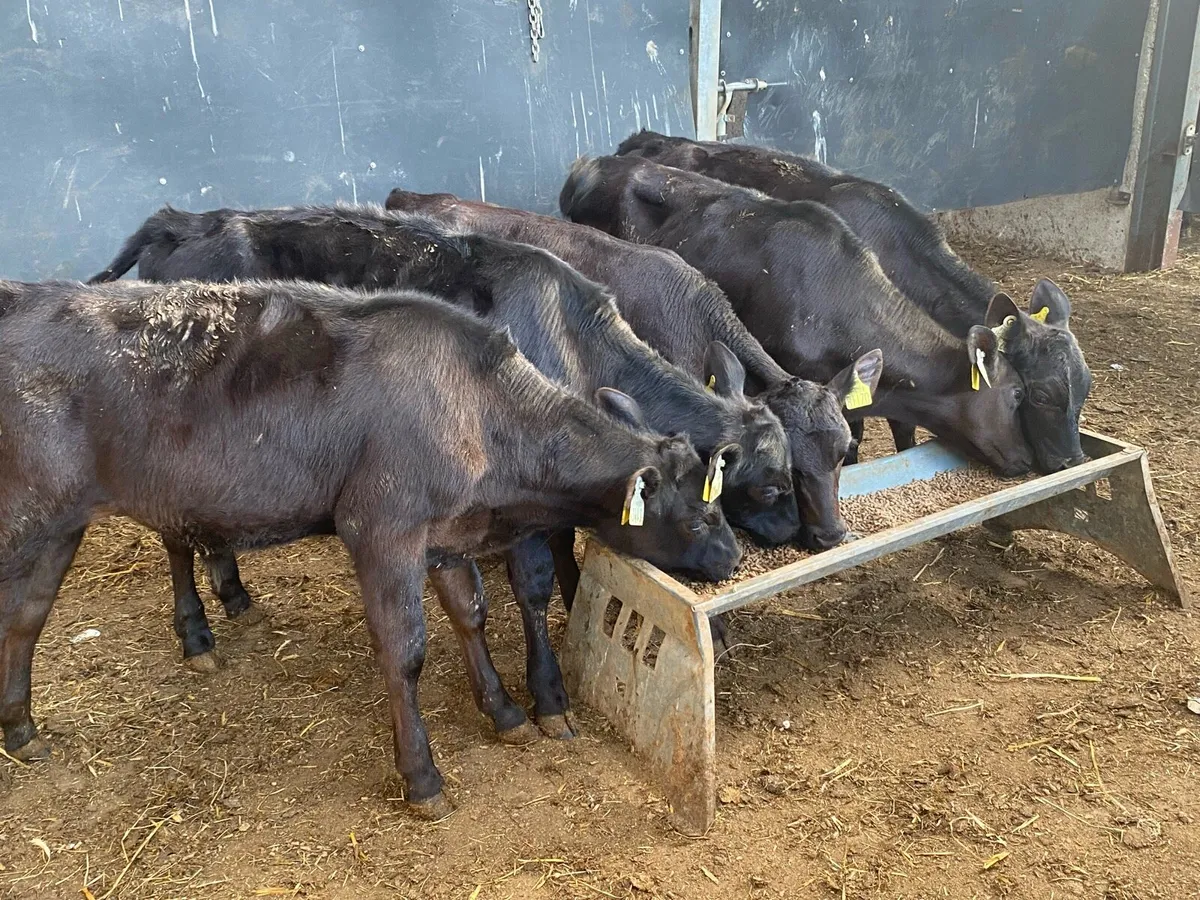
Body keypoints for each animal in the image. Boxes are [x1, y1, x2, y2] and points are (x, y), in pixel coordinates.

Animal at [0, 278, 740, 819]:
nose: (732, 557)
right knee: (25, 612)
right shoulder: (383, 527)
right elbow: (404, 649)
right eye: (698, 517)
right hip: (31, 516)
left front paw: (504, 711)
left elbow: (470, 612)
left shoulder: (444, 532)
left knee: (34, 615)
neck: (481, 413)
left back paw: (27, 723)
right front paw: (422, 776)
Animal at [88, 203, 770, 736]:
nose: (736, 558)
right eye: (763, 485)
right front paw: (548, 695)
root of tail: (180, 221)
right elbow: (531, 584)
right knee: (172, 536)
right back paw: (196, 633)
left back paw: (232, 592)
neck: (571, 337)